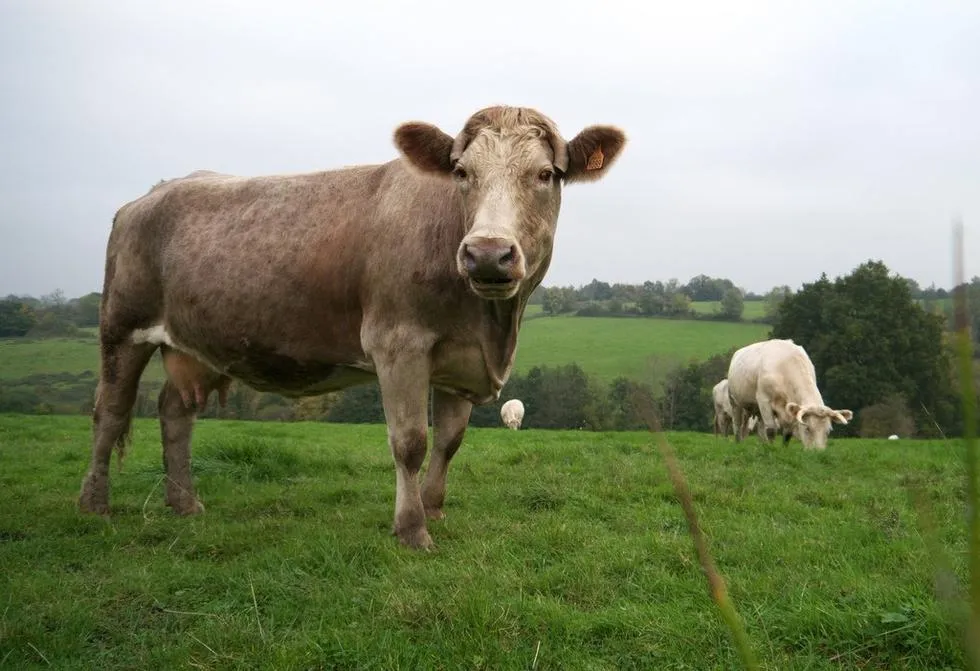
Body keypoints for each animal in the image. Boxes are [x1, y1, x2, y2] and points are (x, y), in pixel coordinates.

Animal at [78, 103, 628, 544]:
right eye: (461, 171)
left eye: (545, 175)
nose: (487, 253)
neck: (491, 325)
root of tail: (148, 195)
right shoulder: (398, 343)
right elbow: (411, 441)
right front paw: (411, 530)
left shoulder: (461, 360)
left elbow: (448, 443)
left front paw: (434, 511)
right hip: (121, 328)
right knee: (110, 412)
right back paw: (94, 505)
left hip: (194, 343)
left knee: (175, 413)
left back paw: (184, 504)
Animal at [724, 336, 852, 452]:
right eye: (807, 429)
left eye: (828, 431)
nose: (818, 453)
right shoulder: (764, 400)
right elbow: (771, 430)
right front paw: (771, 449)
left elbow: (788, 433)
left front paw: (783, 449)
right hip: (735, 402)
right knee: (737, 425)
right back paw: (739, 443)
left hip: (755, 409)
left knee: (757, 428)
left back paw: (762, 444)